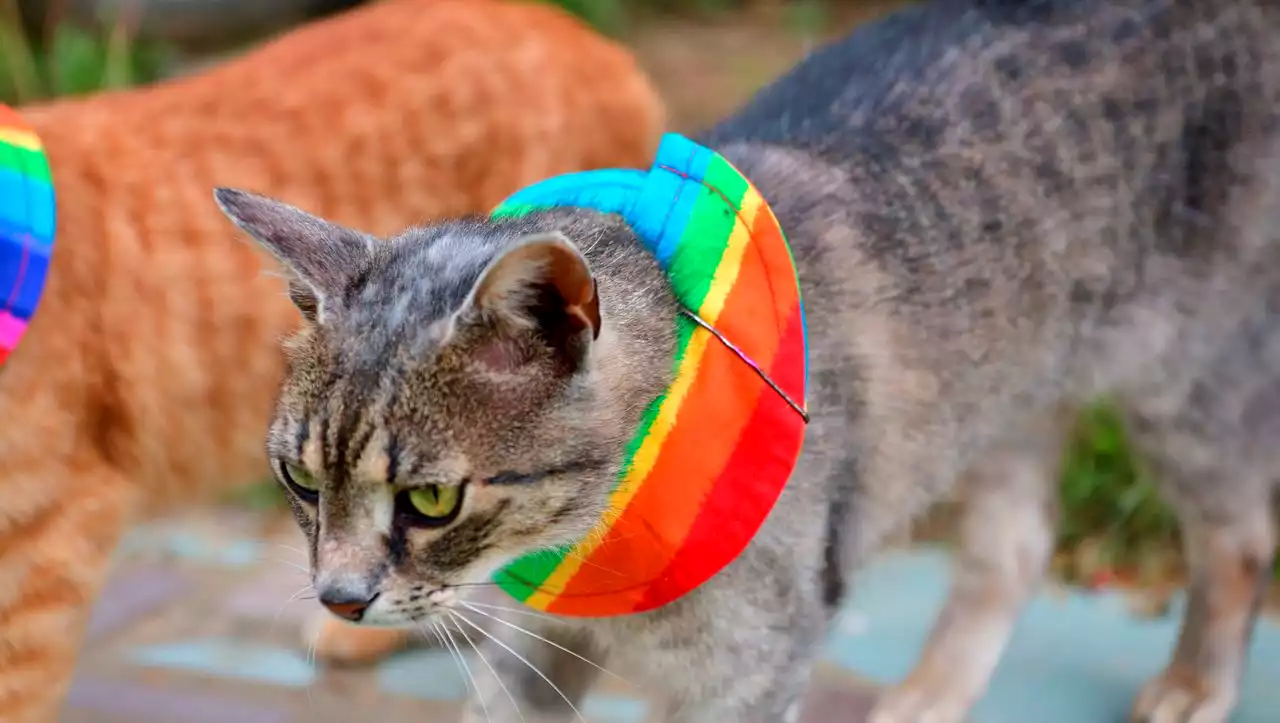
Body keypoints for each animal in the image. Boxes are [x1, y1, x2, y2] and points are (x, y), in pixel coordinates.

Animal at [215, 1, 1280, 721]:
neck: (593, 552)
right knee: (1015, 548)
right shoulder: (527, 655)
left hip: (1184, 383)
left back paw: (1194, 680)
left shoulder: (747, 674)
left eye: (431, 500)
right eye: (299, 480)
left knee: (1236, 536)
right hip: (1012, 394)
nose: (340, 597)